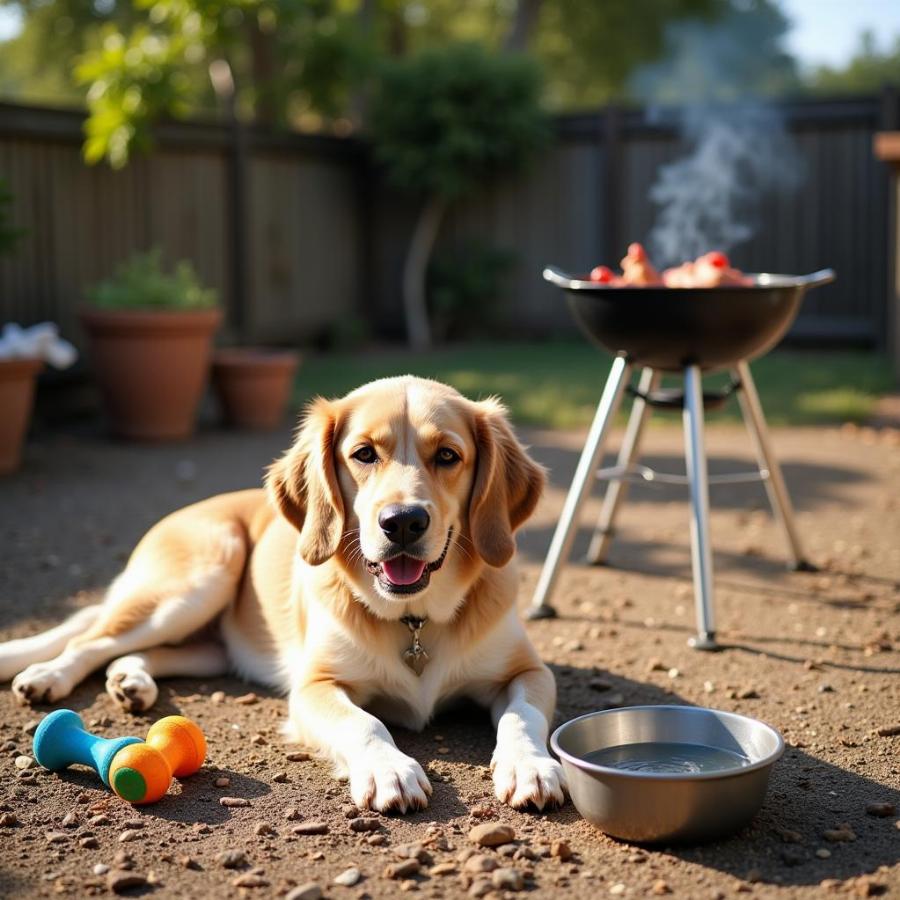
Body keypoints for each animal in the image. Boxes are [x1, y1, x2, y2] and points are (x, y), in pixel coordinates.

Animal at [0, 376, 568, 812]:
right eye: (364, 454)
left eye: (448, 455)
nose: (403, 521)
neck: (414, 619)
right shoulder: (314, 687)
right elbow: (365, 724)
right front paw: (389, 770)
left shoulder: (529, 672)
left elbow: (522, 717)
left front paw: (531, 766)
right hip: (197, 578)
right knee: (91, 640)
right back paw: (46, 677)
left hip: (208, 644)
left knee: (138, 651)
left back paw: (131, 681)